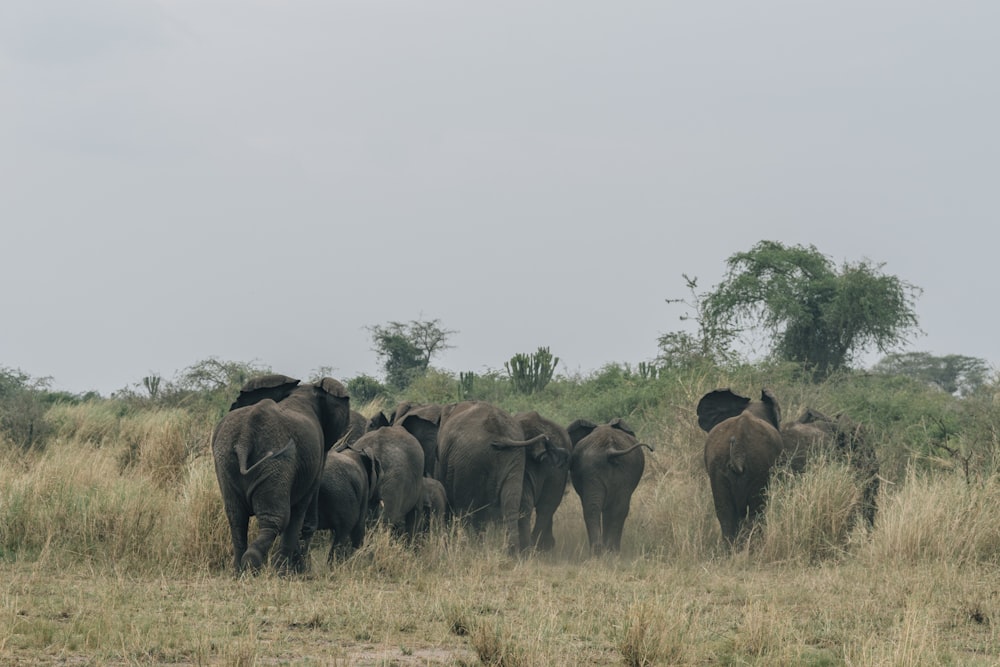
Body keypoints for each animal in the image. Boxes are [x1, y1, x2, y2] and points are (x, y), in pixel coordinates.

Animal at [211, 376, 352, 576]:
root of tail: (246, 436)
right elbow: (301, 508)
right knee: (277, 518)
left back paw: (240, 571)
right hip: (276, 463)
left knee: (236, 517)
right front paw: (285, 573)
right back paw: (254, 564)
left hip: (225, 460)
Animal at [568, 420, 652, 556]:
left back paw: (601, 552)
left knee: (596, 508)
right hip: (621, 468)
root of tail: (610, 450)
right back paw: (609, 552)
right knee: (616, 509)